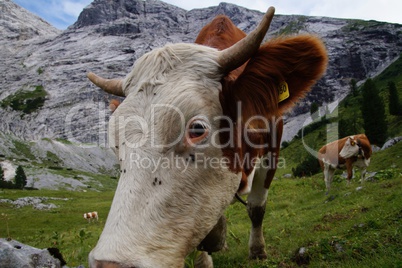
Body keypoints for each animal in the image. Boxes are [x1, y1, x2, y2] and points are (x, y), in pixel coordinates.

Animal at [86, 5, 328, 268]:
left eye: (197, 129)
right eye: (115, 142)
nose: (110, 263)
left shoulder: (273, 149)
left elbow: (256, 208)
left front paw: (257, 251)